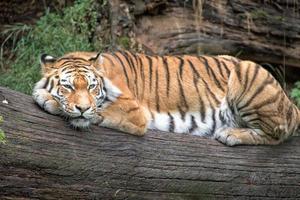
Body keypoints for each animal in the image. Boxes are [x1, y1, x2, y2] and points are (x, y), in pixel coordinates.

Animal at [32, 50, 300, 146]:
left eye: (91, 87)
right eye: (67, 86)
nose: (82, 108)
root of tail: (291, 103)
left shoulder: (134, 112)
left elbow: (98, 112)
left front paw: (45, 97)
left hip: (247, 71)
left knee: (276, 136)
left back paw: (230, 134)